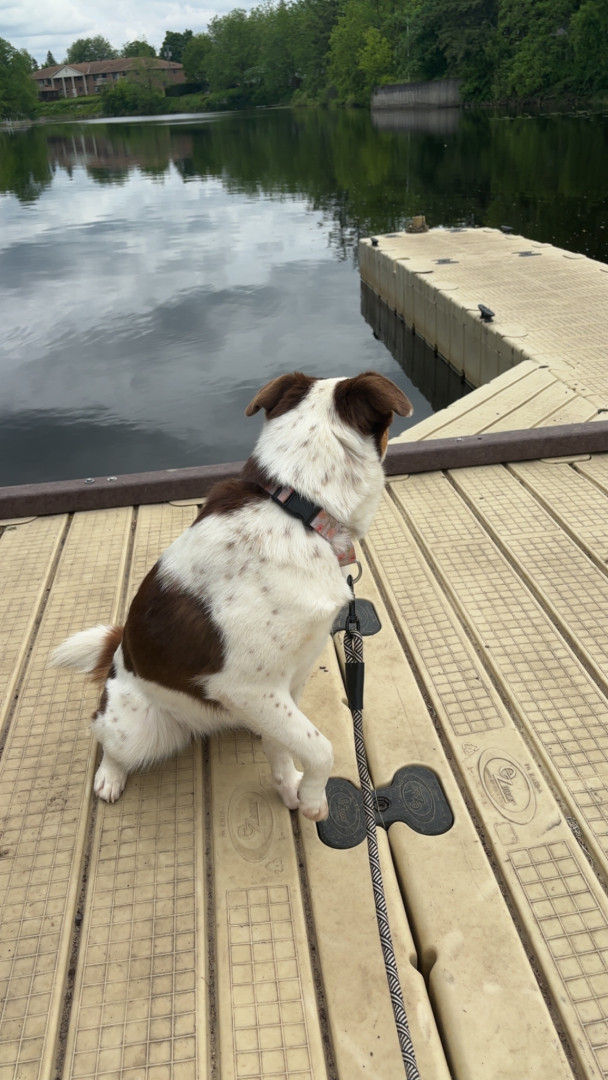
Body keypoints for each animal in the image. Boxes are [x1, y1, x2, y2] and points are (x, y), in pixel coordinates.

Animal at [51, 372, 412, 820]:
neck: (298, 509)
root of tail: (119, 653)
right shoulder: (247, 687)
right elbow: (321, 747)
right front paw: (314, 798)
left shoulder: (286, 681)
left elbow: (287, 744)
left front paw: (290, 787)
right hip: (132, 727)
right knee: (107, 739)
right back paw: (110, 776)